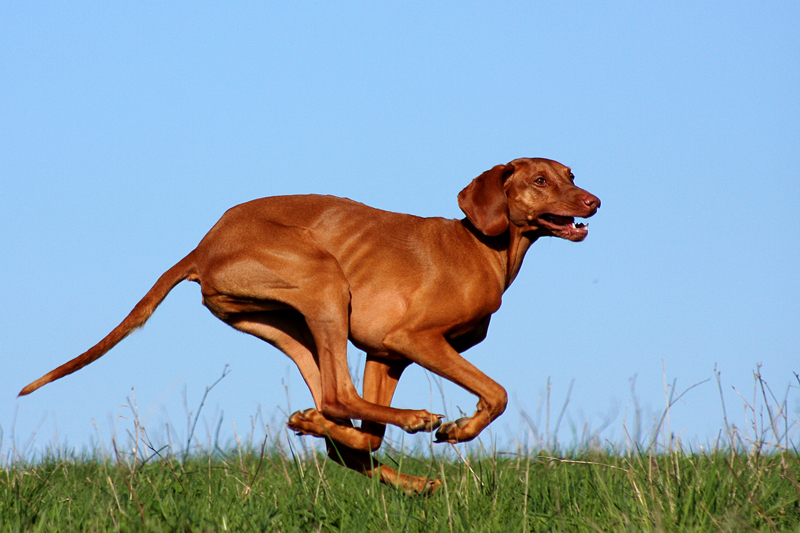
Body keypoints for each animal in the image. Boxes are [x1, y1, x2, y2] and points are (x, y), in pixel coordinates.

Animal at [18, 156, 596, 492]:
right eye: (540, 180)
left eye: (571, 176)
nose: (594, 200)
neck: (484, 246)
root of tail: (203, 246)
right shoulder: (413, 339)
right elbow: (496, 393)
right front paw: (460, 428)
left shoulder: (387, 353)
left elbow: (366, 434)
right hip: (325, 281)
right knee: (341, 401)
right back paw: (411, 422)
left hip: (291, 323)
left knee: (344, 426)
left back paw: (344, 440)